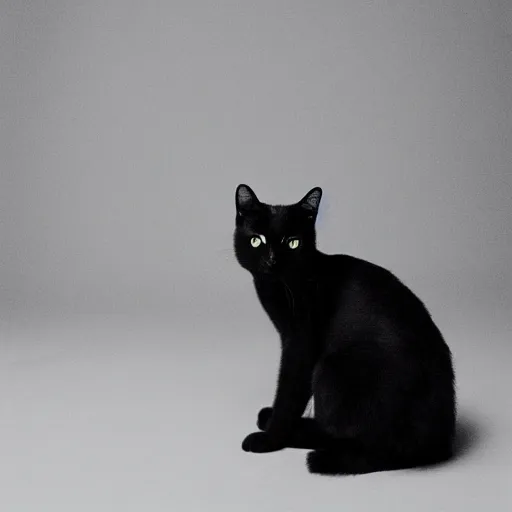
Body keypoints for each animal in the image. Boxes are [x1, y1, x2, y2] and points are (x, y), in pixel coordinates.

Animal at [233, 184, 456, 476]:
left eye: (292, 243)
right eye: (256, 240)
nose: (272, 261)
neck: (283, 285)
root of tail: (437, 444)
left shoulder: (300, 345)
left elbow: (289, 392)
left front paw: (271, 438)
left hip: (330, 368)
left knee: (345, 436)